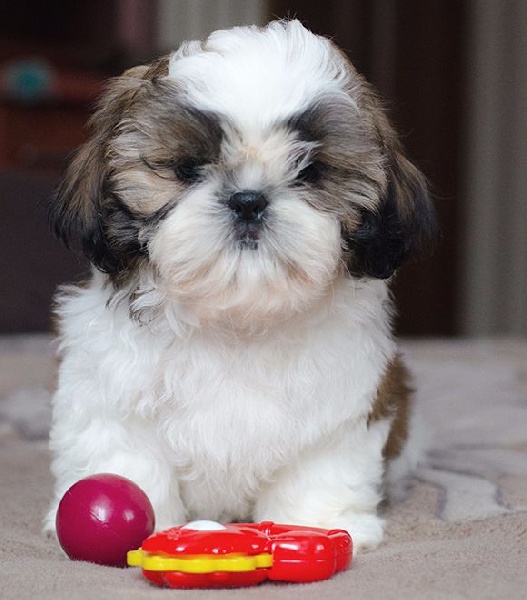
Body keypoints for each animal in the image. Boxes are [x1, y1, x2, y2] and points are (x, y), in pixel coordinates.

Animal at [45, 20, 435, 552]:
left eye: (311, 171)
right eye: (187, 169)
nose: (249, 200)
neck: (236, 318)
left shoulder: (343, 406)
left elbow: (319, 465)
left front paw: (317, 523)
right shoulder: (109, 392)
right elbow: (126, 455)